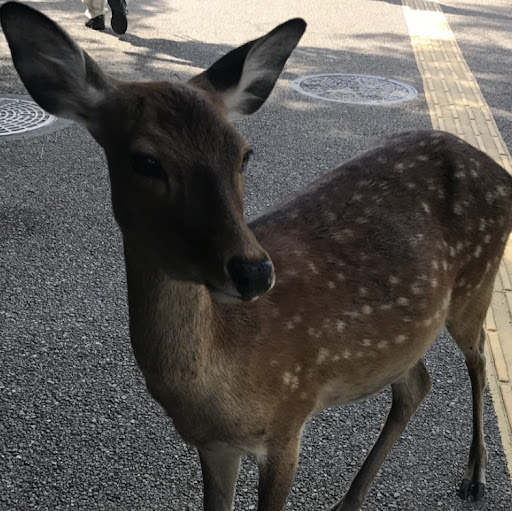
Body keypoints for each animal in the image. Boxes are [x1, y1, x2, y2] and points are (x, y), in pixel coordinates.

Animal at [2, 2, 510, 510]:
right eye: (145, 161)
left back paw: (476, 475)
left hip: (477, 282)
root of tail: (498, 169)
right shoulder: (216, 446)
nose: (254, 272)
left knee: (479, 360)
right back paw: (351, 499)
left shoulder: (289, 418)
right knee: (416, 383)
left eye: (245, 154)